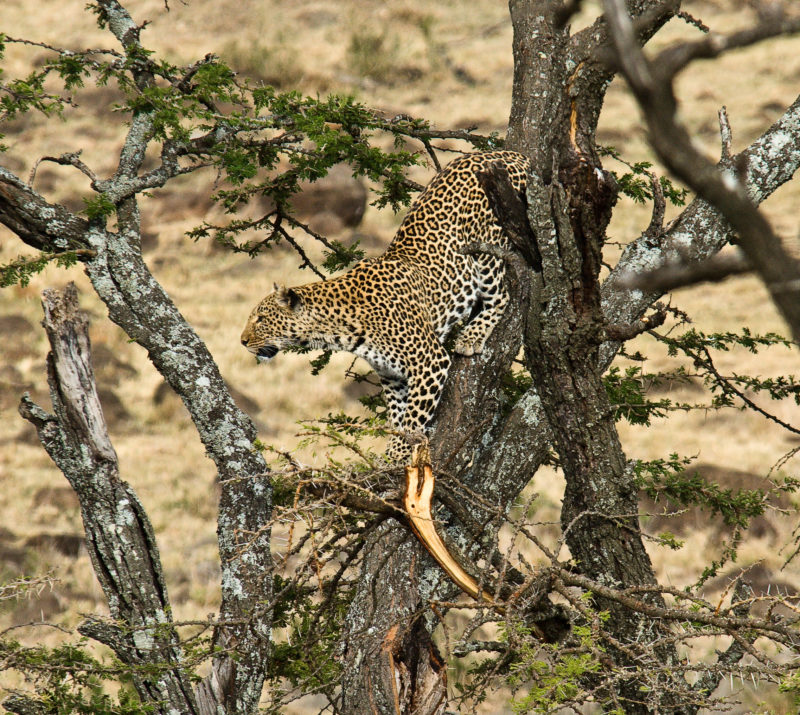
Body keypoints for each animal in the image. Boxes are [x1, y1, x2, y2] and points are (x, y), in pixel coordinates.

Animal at [241, 152, 536, 462]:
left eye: (260, 319)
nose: (242, 341)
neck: (337, 329)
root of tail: (504, 154)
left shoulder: (430, 361)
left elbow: (413, 416)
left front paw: (399, 451)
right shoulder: (392, 376)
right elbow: (397, 415)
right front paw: (393, 448)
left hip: (487, 251)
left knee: (500, 296)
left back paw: (471, 336)